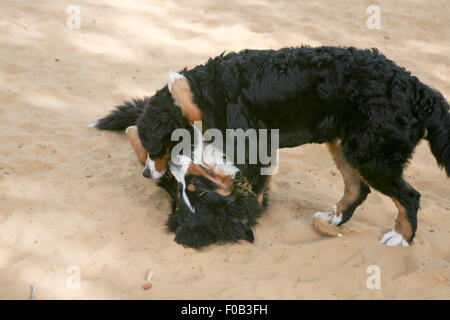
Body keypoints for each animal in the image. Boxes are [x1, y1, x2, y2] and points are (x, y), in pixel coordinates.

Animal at [93, 45, 448, 246]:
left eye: (156, 148)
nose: (146, 174)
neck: (208, 96)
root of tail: (419, 90)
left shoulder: (251, 148)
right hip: (346, 146)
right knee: (356, 189)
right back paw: (333, 219)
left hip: (373, 157)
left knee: (408, 198)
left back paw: (400, 237)